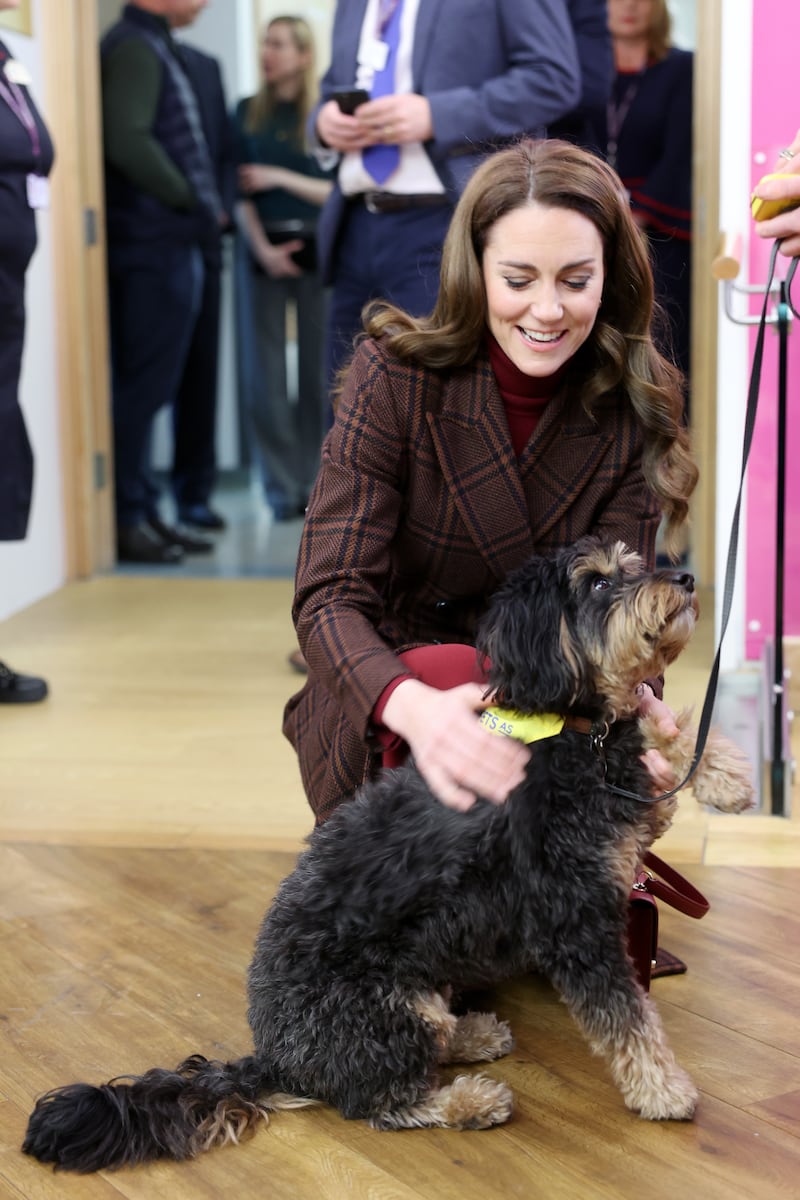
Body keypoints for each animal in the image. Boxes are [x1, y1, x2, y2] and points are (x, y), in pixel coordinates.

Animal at [21, 537, 753, 1171]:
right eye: (599, 583)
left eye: (633, 563)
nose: (687, 579)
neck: (564, 730)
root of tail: (274, 1057)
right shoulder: (576, 924)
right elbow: (628, 1022)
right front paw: (664, 1091)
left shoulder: (628, 811)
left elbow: (662, 735)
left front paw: (725, 775)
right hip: (386, 1011)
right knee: (383, 1103)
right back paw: (468, 1099)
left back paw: (471, 1035)